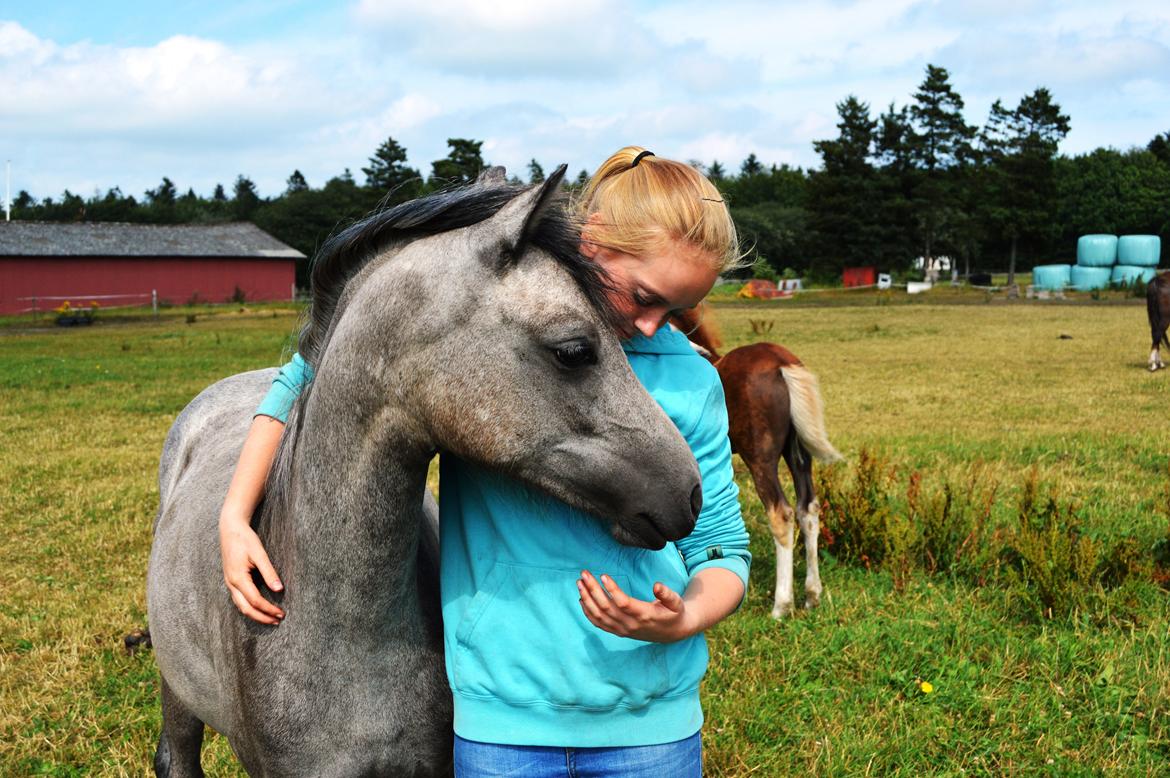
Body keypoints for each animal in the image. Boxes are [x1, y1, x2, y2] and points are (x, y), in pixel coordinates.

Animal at [671, 306, 842, 619]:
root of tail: (782, 363)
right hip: (798, 454)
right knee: (808, 508)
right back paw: (812, 595)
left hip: (760, 459)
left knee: (781, 513)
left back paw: (781, 605)